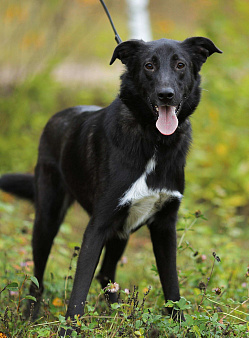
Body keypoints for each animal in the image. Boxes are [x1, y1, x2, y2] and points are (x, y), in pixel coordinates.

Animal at [0, 35, 222, 334]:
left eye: (180, 65)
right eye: (149, 65)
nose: (166, 94)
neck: (154, 141)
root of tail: (58, 116)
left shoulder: (164, 225)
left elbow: (172, 285)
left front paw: (180, 325)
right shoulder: (98, 225)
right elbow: (79, 289)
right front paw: (68, 331)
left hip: (121, 231)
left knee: (106, 274)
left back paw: (117, 316)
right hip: (48, 218)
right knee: (38, 276)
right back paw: (30, 316)